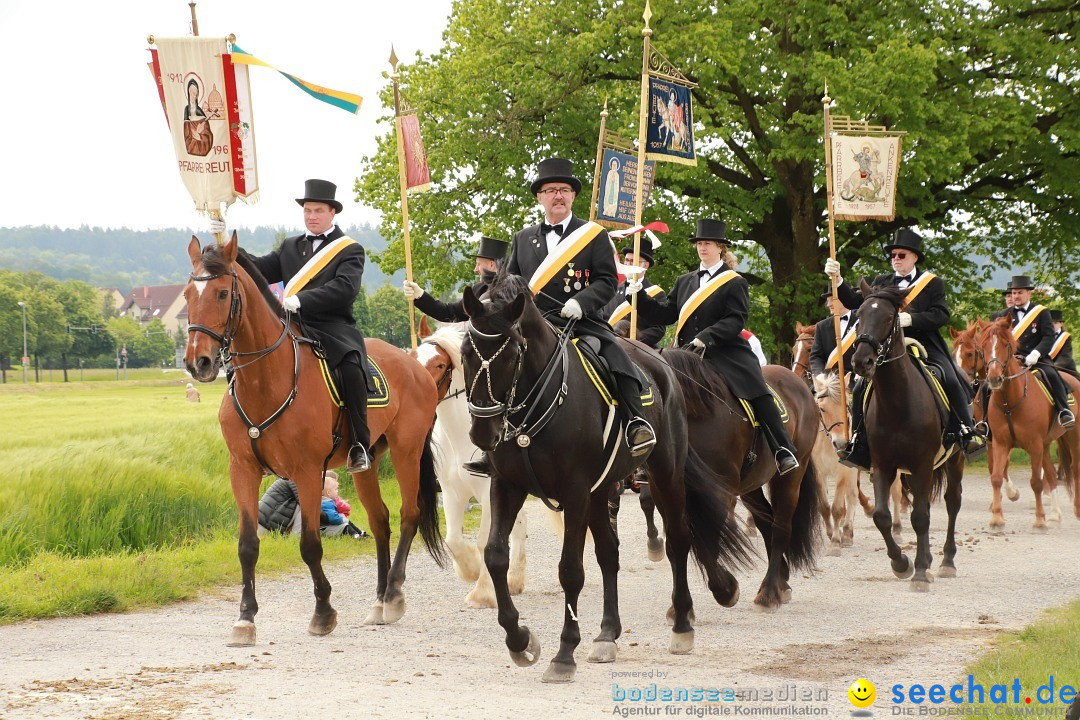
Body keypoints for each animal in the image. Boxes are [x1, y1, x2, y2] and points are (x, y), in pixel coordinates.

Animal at [183, 236, 444, 647]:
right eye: (186, 294)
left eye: (223, 293)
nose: (199, 363)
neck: (264, 380)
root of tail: (414, 363)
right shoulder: (242, 469)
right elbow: (247, 545)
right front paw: (245, 619)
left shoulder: (306, 471)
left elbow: (309, 544)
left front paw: (323, 612)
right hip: (367, 462)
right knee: (381, 520)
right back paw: (379, 601)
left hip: (407, 451)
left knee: (409, 515)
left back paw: (394, 595)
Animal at [408, 317, 527, 604]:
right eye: (413, 357)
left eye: (440, 364)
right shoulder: (452, 492)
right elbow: (453, 540)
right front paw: (471, 569)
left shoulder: (488, 492)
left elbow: (485, 540)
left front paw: (483, 592)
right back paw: (514, 580)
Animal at [460, 273, 756, 686]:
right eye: (465, 353)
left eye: (511, 353)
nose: (482, 433)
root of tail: (662, 363)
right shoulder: (508, 485)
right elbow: (495, 556)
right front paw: (520, 640)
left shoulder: (574, 492)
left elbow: (570, 570)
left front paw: (564, 653)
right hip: (602, 492)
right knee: (609, 553)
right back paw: (607, 634)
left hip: (663, 475)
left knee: (678, 541)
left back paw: (682, 625)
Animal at [972, 317, 1080, 526]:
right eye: (982, 347)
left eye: (1005, 344)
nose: (994, 378)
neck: (1009, 402)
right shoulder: (999, 443)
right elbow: (996, 476)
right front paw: (997, 517)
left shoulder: (1034, 444)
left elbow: (1036, 482)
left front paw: (1039, 520)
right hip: (1046, 443)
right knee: (1052, 475)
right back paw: (1055, 513)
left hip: (1072, 436)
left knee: (1074, 469)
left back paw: (1076, 510)